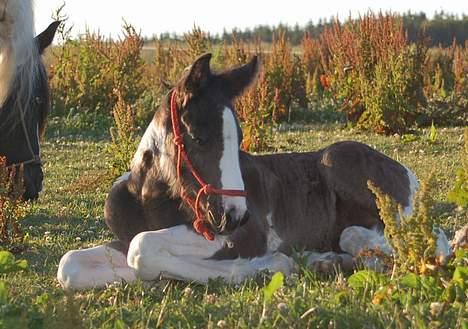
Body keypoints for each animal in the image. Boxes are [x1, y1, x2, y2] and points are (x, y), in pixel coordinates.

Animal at [56, 52, 452, 288]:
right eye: (199, 138)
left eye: (240, 138)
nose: (235, 216)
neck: (149, 199)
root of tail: (408, 174)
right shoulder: (123, 239)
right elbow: (71, 265)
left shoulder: (244, 235)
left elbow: (143, 249)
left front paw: (266, 266)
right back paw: (330, 259)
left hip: (344, 166)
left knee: (425, 241)